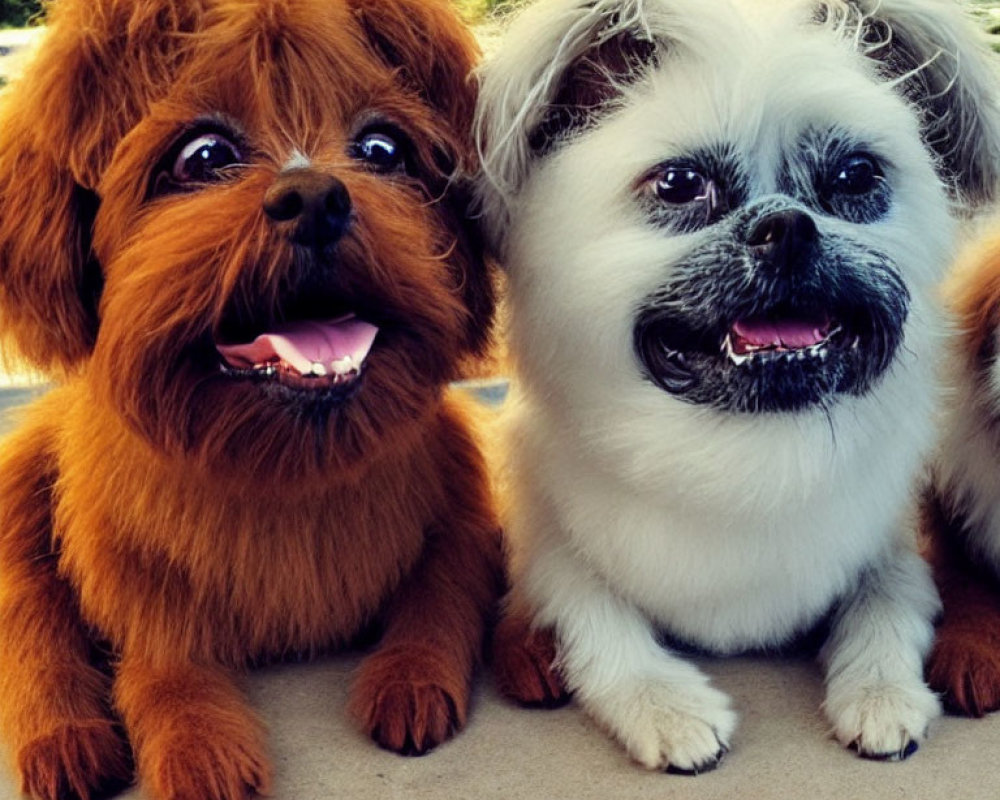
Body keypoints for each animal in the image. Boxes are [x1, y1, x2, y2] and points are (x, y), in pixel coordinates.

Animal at [0, 1, 500, 800]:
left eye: (383, 149)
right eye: (203, 157)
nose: (315, 197)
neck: (279, 471)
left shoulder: (459, 505)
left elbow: (443, 590)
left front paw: (413, 677)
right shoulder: (140, 594)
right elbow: (164, 670)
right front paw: (197, 747)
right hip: (21, 486)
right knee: (28, 616)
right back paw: (64, 737)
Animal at [474, 0, 1000, 776]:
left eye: (854, 175)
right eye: (679, 184)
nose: (788, 227)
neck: (746, 446)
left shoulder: (893, 544)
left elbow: (887, 602)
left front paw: (881, 696)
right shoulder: (552, 548)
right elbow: (596, 619)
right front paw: (668, 706)